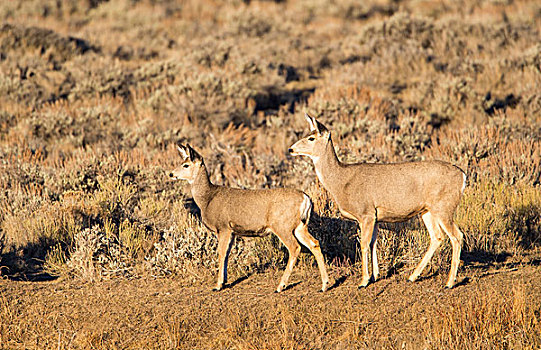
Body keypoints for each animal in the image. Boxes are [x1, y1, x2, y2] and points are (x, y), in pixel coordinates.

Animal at [169, 143, 330, 292]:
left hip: (282, 225)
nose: (171, 174)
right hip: (299, 226)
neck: (207, 199)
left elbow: (221, 253)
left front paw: (218, 285)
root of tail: (306, 198)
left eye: (186, 165)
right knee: (314, 243)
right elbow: (227, 254)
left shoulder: (223, 227)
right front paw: (225, 281)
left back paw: (280, 286)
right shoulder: (232, 231)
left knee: (295, 248)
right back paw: (324, 285)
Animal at [288, 113, 466, 288]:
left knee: (457, 236)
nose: (291, 149)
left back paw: (449, 282)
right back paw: (413, 276)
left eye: (311, 138)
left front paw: (363, 281)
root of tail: (463, 176)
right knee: (437, 237)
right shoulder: (375, 216)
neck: (341, 182)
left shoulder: (365, 212)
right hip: (427, 210)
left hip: (444, 207)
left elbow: (364, 244)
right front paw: (375, 275)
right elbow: (373, 242)